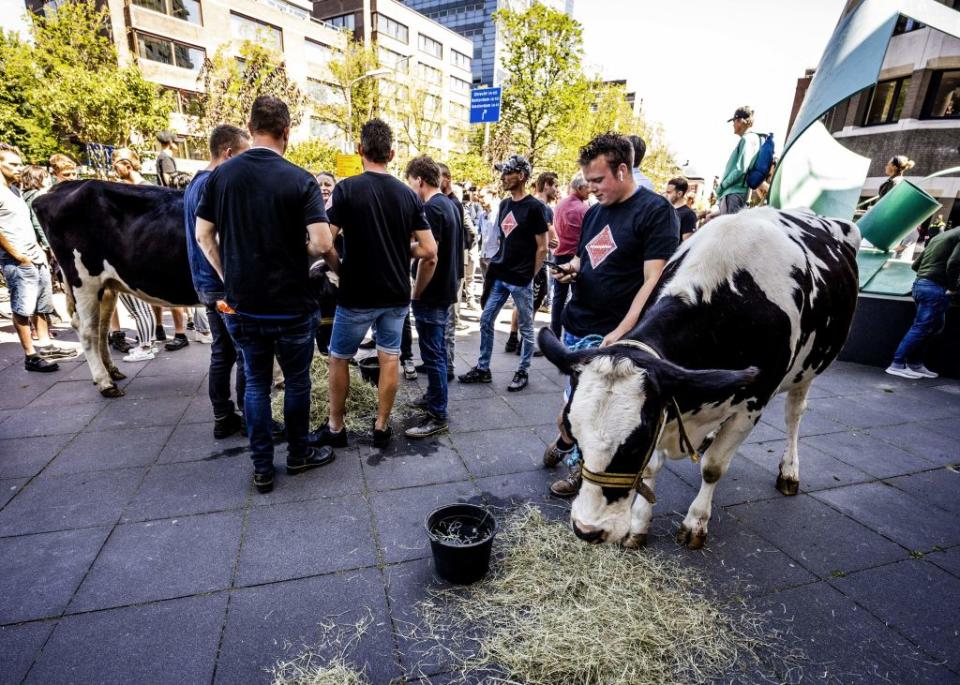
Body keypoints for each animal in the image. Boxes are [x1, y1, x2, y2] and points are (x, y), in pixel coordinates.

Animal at [32, 179, 198, 398]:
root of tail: (61, 186)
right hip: (84, 282)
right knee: (87, 330)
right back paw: (105, 383)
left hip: (106, 287)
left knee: (101, 328)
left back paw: (111, 371)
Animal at [540, 206, 864, 548]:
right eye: (574, 436)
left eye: (633, 446)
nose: (587, 529)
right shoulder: (668, 402)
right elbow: (653, 467)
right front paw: (640, 525)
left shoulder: (753, 402)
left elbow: (713, 468)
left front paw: (695, 524)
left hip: (809, 370)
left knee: (794, 415)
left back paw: (789, 472)